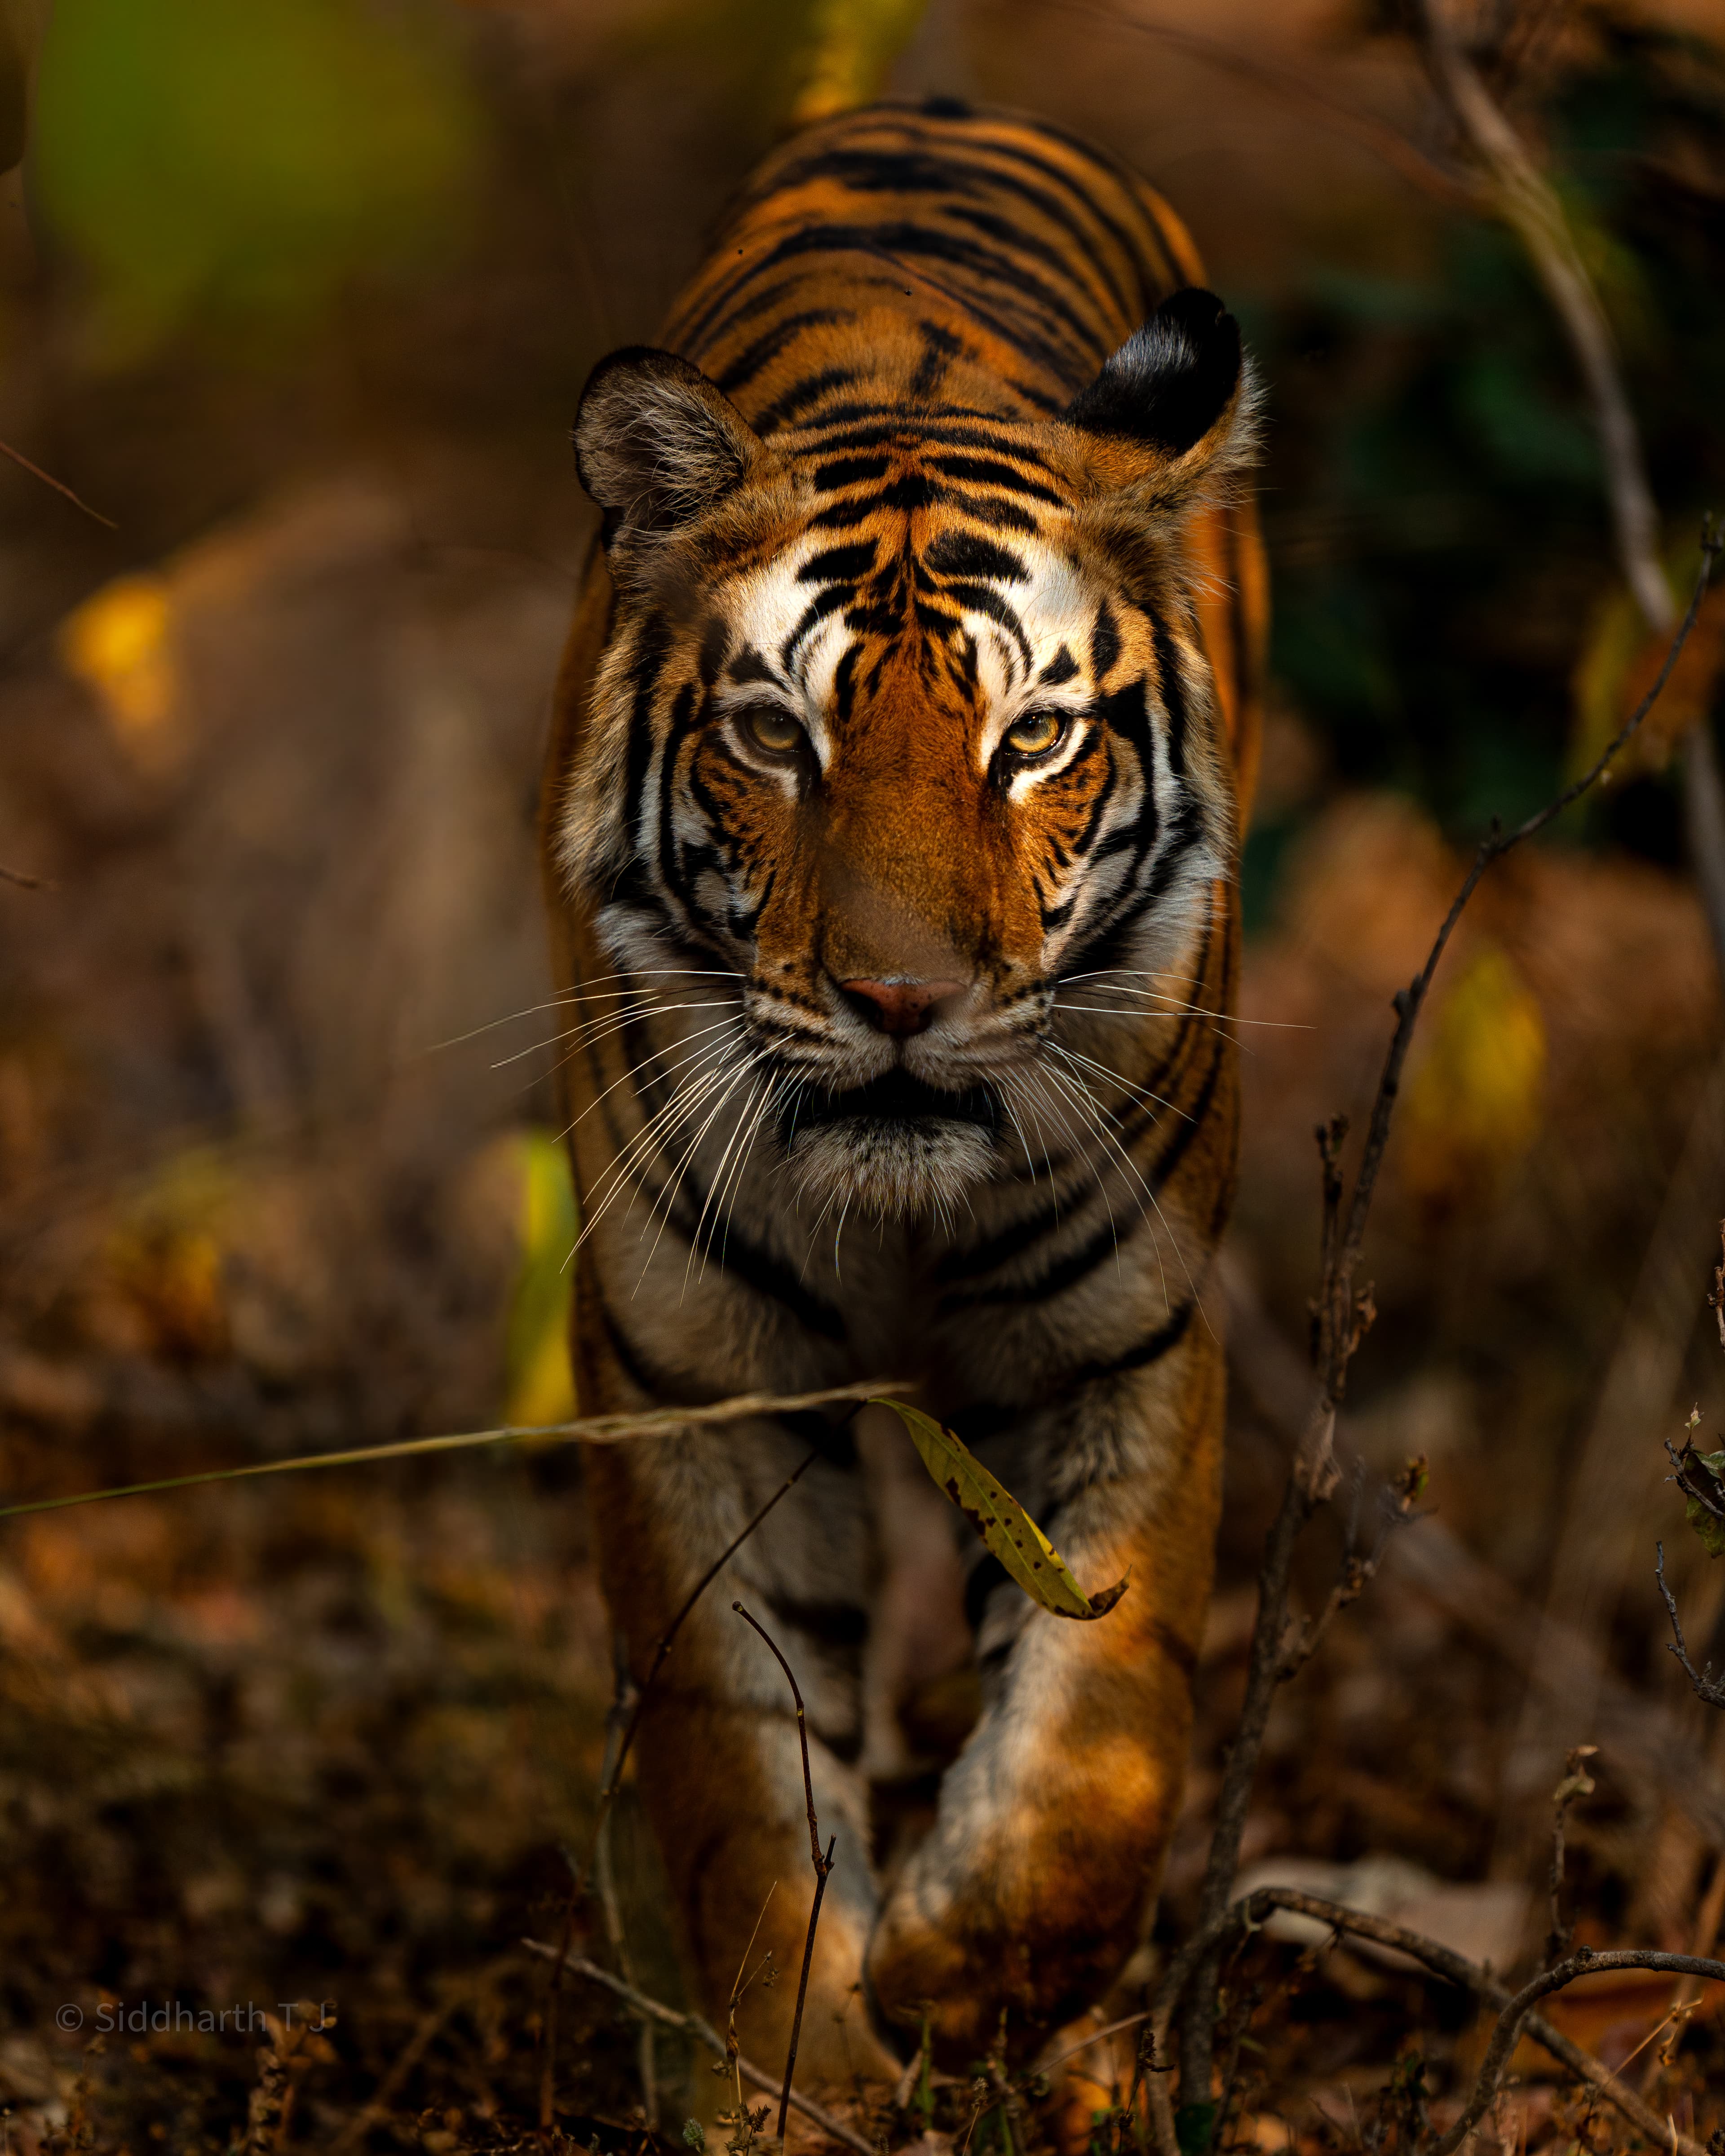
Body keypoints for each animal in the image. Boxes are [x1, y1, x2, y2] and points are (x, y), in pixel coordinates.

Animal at [540, 96, 1265, 2083]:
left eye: (1036, 738)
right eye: (775, 735)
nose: (900, 1002)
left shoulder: (1123, 1338)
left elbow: (1103, 1729)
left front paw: (967, 1966)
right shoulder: (693, 1368)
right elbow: (736, 1764)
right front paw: (798, 2071)